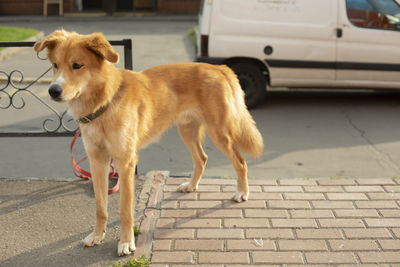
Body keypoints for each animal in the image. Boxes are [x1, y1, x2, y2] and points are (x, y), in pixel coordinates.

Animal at [34, 30, 264, 256]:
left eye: (77, 65)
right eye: (55, 64)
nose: (53, 90)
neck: (104, 102)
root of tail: (219, 68)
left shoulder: (125, 162)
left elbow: (125, 210)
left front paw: (126, 242)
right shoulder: (97, 160)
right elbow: (100, 207)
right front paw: (97, 236)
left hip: (220, 133)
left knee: (240, 161)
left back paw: (242, 192)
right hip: (187, 130)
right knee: (202, 158)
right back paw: (191, 185)